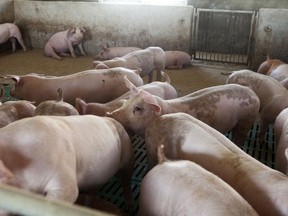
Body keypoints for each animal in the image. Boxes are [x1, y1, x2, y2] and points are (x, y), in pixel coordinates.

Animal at [0, 115, 134, 214]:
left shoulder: (63, 173)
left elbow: (68, 193)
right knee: (91, 192)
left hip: (127, 153)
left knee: (126, 179)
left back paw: (128, 208)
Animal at [107, 76, 260, 147]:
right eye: (126, 103)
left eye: (138, 108)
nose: (110, 114)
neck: (167, 109)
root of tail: (252, 92)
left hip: (247, 120)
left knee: (240, 136)